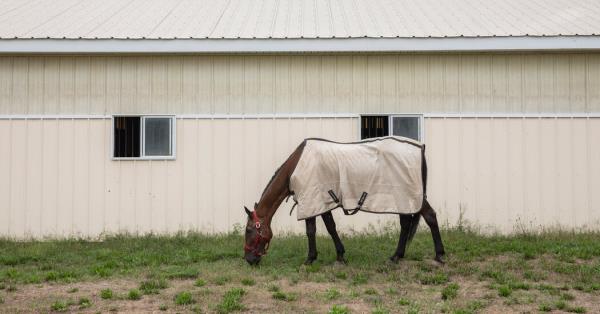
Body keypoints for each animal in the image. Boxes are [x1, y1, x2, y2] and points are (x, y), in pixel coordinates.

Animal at [244, 137, 446, 264]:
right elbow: (330, 227)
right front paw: (340, 256)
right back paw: (396, 256)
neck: (296, 167)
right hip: (402, 198)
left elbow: (311, 230)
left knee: (430, 216)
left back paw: (439, 256)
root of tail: (420, 147)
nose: (249, 260)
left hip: (409, 196)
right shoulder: (321, 202)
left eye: (248, 230)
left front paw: (310, 259)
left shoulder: (311, 200)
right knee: (405, 224)